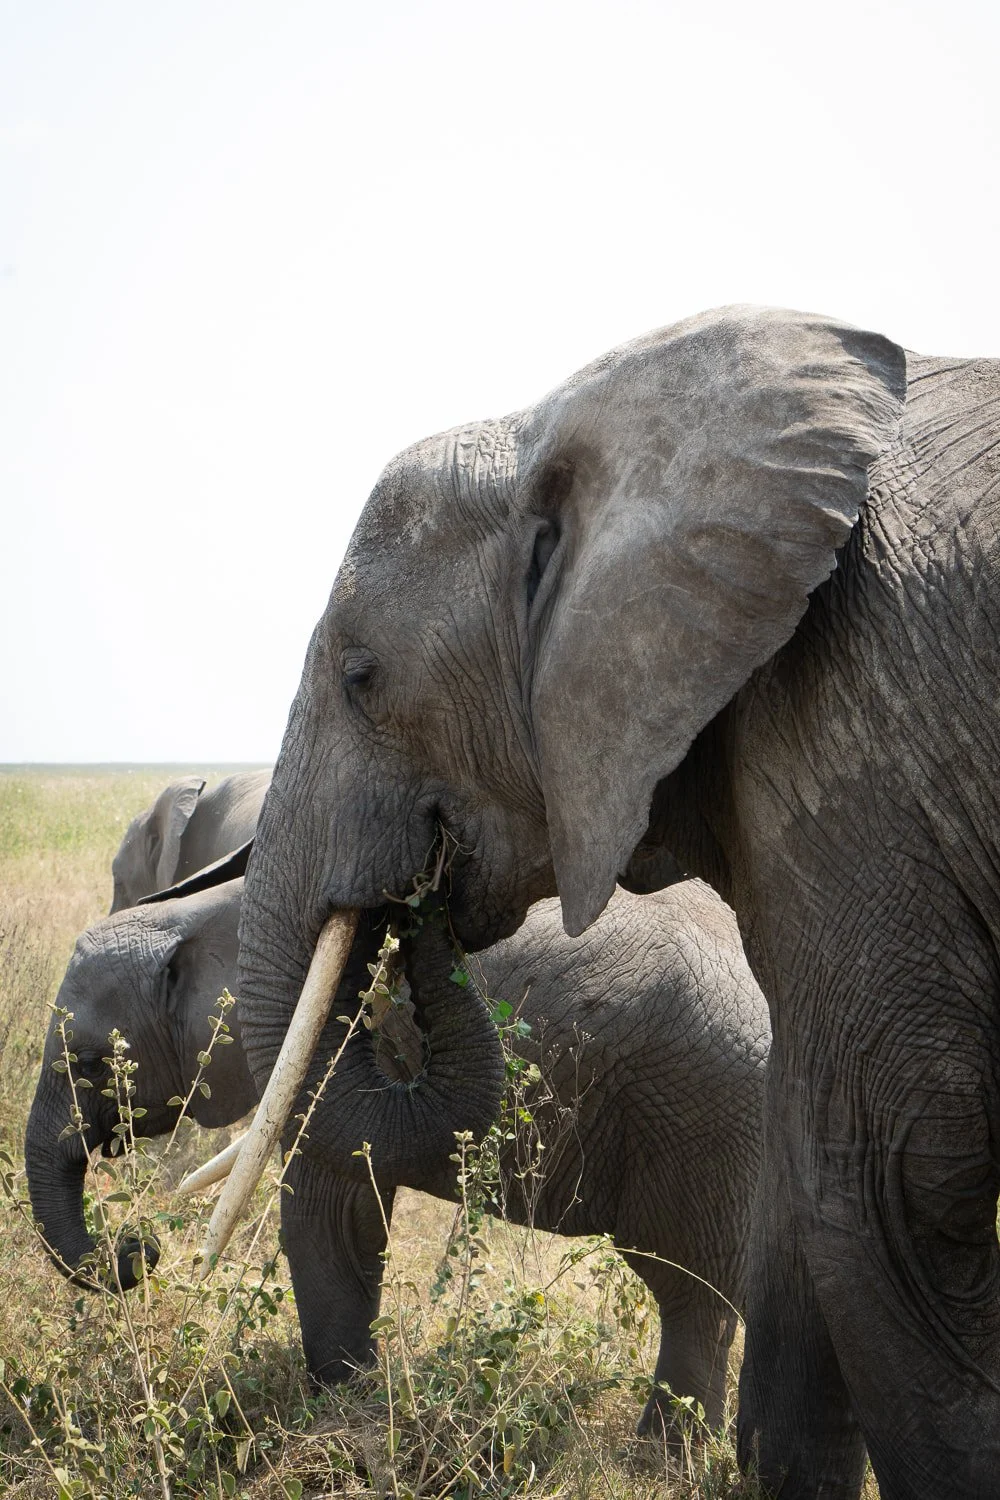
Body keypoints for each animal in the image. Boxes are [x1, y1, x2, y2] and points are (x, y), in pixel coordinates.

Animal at [24, 870, 768, 1438]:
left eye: (91, 1064)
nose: (140, 1249)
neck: (200, 916)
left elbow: (328, 1217)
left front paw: (337, 1409)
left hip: (704, 1118)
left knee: (691, 1291)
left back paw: (661, 1456)